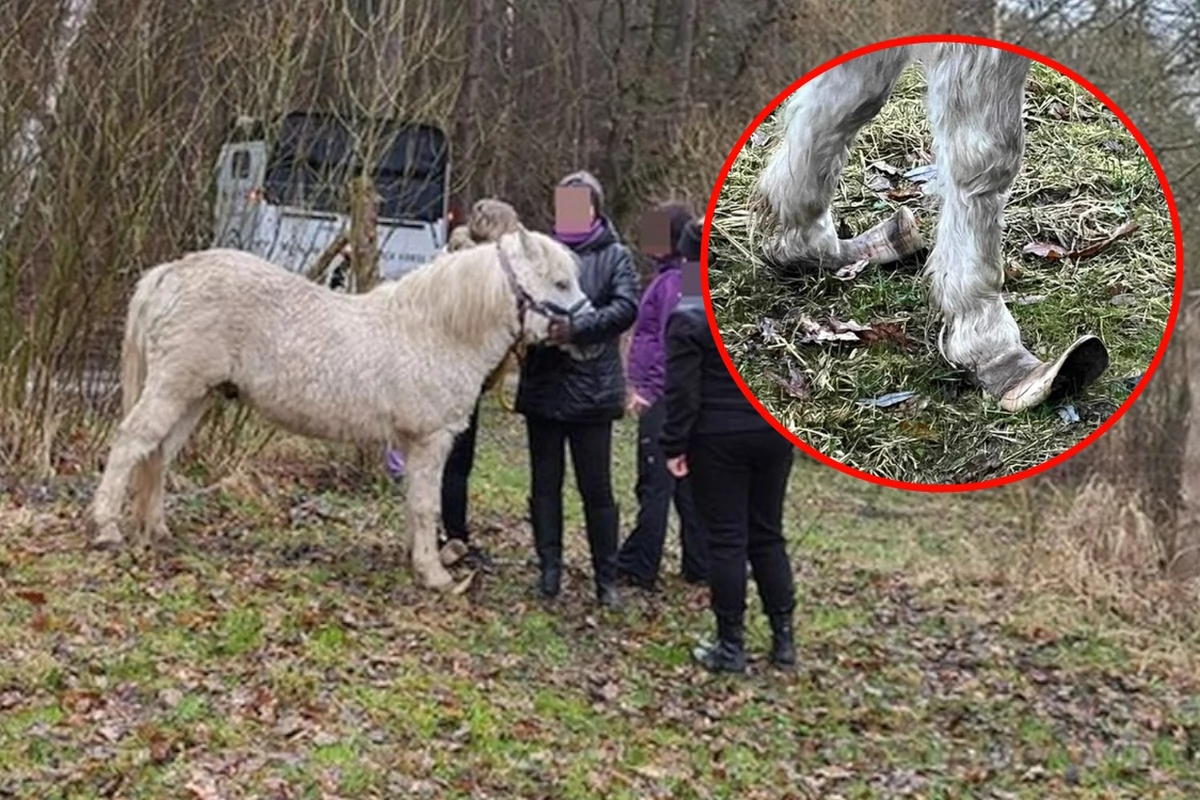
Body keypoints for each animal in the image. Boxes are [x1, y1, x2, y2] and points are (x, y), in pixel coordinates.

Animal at [88, 225, 590, 587]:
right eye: (561, 282)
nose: (589, 331)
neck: (436, 330)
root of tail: (173, 271)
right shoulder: (431, 439)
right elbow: (426, 505)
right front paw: (434, 575)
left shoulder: (412, 444)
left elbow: (413, 502)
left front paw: (416, 559)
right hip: (174, 387)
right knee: (132, 441)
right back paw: (107, 528)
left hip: (195, 396)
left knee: (158, 454)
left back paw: (156, 530)